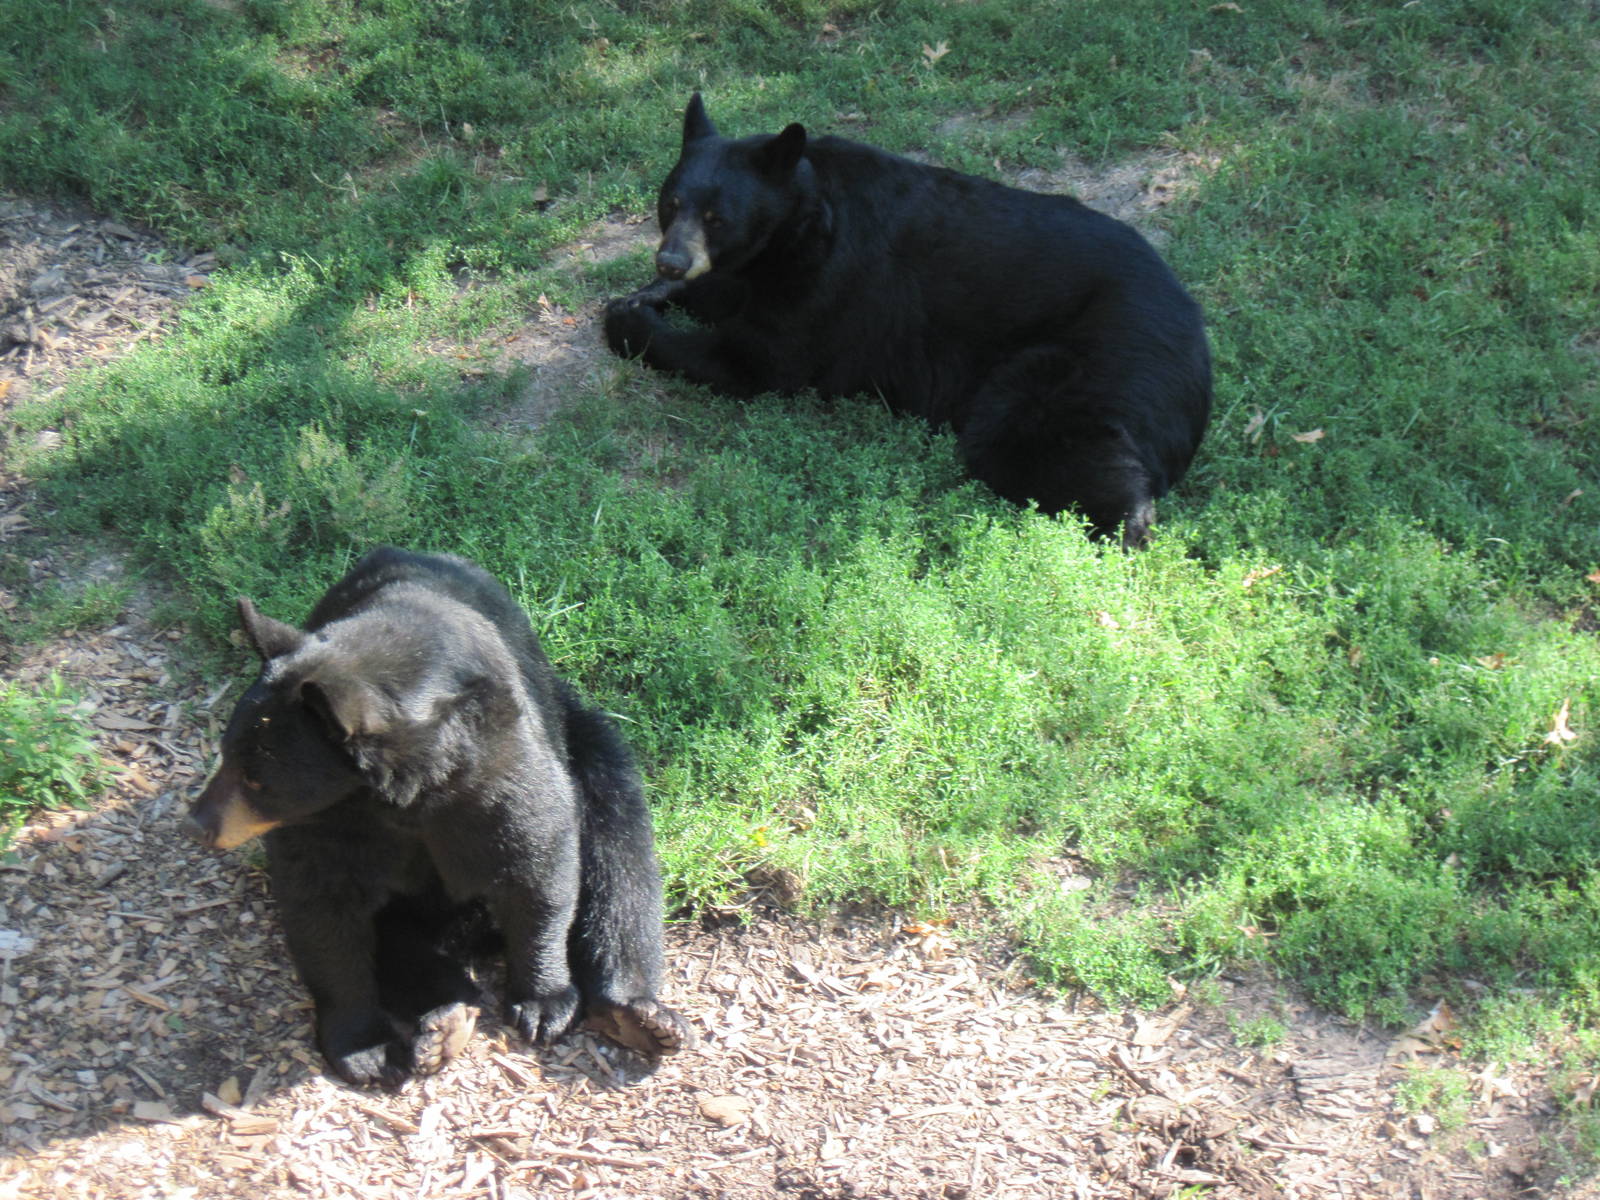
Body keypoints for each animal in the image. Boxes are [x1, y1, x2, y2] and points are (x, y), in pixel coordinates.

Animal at [185, 547, 687, 1088]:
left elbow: (538, 863)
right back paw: (447, 1020)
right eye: (225, 755)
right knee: (401, 949)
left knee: (621, 857)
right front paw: (362, 1047)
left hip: (586, 742)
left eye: (257, 780)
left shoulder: (495, 770)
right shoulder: (326, 822)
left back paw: (639, 1014)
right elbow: (320, 906)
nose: (199, 824)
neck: (398, 799)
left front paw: (544, 1001)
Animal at [604, 94, 1213, 545]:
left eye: (716, 216)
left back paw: (1118, 525)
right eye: (670, 203)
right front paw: (651, 293)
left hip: (1086, 369)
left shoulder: (825, 281)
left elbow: (755, 361)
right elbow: (725, 292)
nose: (670, 259)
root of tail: (1197, 351)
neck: (800, 216)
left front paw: (630, 319)